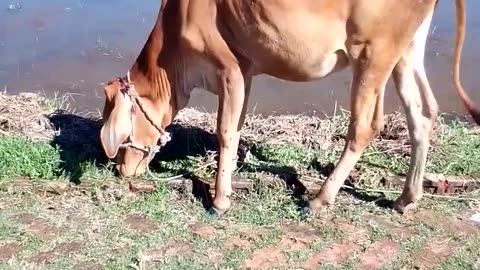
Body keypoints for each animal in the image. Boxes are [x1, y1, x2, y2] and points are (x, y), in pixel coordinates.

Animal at [99, 0, 478, 215]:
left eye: (119, 130)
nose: (120, 169)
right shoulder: (245, 71)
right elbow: (237, 128)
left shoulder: (229, 68)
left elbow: (225, 132)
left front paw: (219, 202)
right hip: (405, 51)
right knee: (423, 115)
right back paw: (406, 198)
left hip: (373, 53)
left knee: (366, 126)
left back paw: (319, 199)